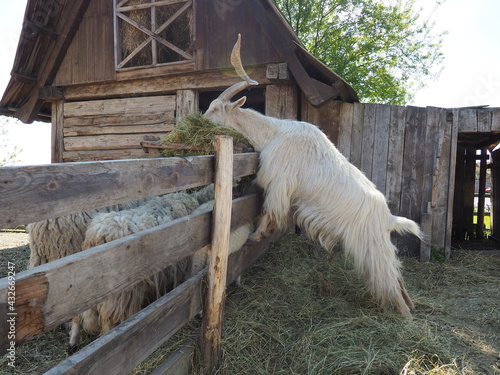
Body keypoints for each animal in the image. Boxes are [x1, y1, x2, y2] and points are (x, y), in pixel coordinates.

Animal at [203, 33, 422, 318]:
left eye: (216, 108)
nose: (198, 119)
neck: (275, 133)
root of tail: (388, 218)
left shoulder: (279, 182)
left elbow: (270, 211)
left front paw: (255, 237)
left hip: (370, 245)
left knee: (388, 279)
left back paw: (406, 316)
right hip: (380, 245)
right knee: (396, 275)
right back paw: (410, 306)